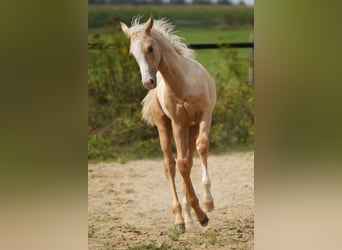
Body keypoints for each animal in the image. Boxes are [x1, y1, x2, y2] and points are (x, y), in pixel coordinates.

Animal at [121, 17, 216, 232]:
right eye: (132, 54)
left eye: (150, 48)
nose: (148, 82)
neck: (183, 84)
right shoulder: (178, 123)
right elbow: (180, 165)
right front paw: (202, 212)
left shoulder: (204, 116)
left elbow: (201, 148)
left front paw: (207, 204)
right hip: (165, 127)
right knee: (170, 165)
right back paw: (181, 219)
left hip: (191, 127)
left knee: (188, 160)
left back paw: (190, 216)